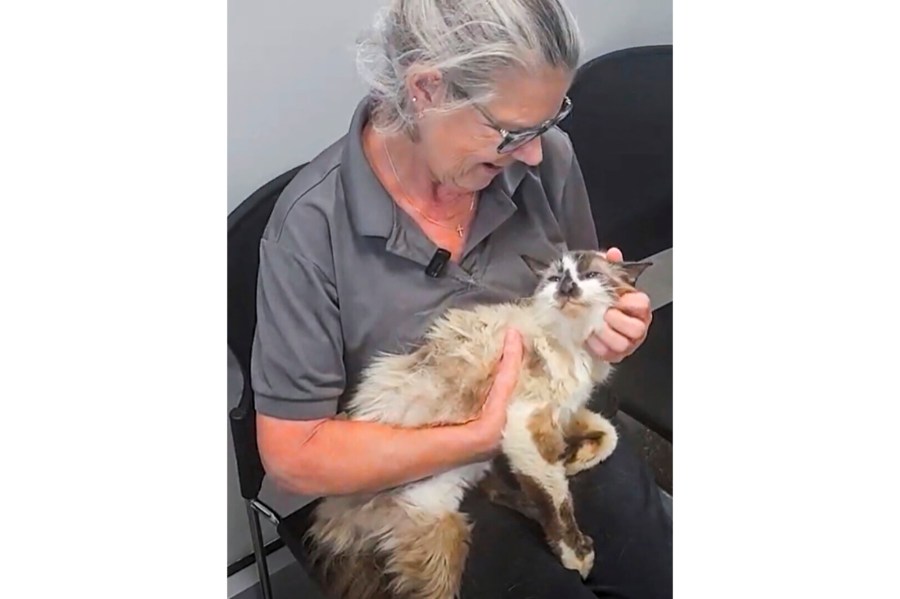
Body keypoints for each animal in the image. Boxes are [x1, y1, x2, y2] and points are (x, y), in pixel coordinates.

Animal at [306, 250, 652, 599]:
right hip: (441, 543)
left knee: (497, 491)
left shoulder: (559, 414)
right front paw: (577, 555)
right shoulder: (526, 426)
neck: (574, 341)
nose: (566, 287)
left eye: (591, 275)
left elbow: (607, 434)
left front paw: (572, 460)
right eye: (556, 278)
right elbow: (558, 504)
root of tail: (332, 515)